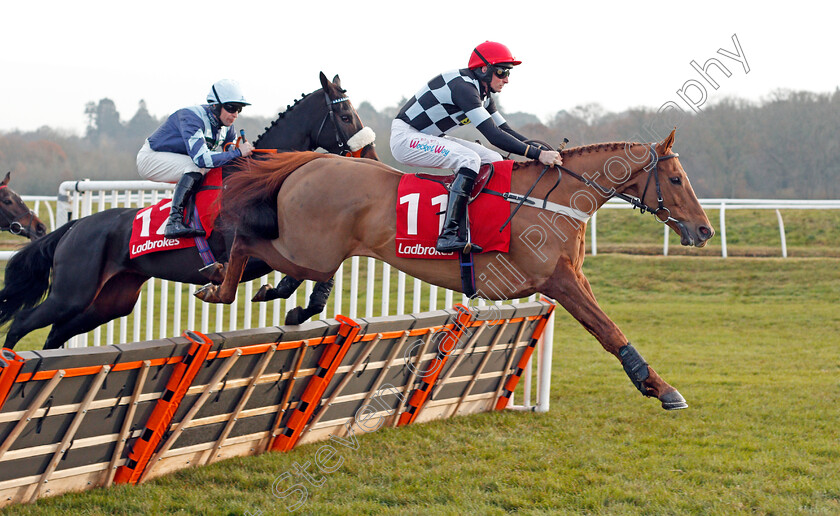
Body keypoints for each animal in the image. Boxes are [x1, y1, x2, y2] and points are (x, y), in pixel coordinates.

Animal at [0, 72, 378, 350]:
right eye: (346, 116)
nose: (373, 158)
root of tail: (75, 226)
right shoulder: (250, 250)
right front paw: (268, 292)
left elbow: (316, 275)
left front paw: (296, 306)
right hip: (72, 292)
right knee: (21, 323)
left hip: (108, 301)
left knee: (54, 334)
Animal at [200, 127, 712, 410]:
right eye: (675, 179)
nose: (704, 230)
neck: (558, 199)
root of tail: (311, 162)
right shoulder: (560, 280)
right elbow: (608, 330)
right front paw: (661, 388)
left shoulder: (570, 278)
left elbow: (606, 327)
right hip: (308, 247)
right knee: (245, 242)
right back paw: (217, 286)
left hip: (316, 251)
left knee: (290, 271)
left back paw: (282, 298)